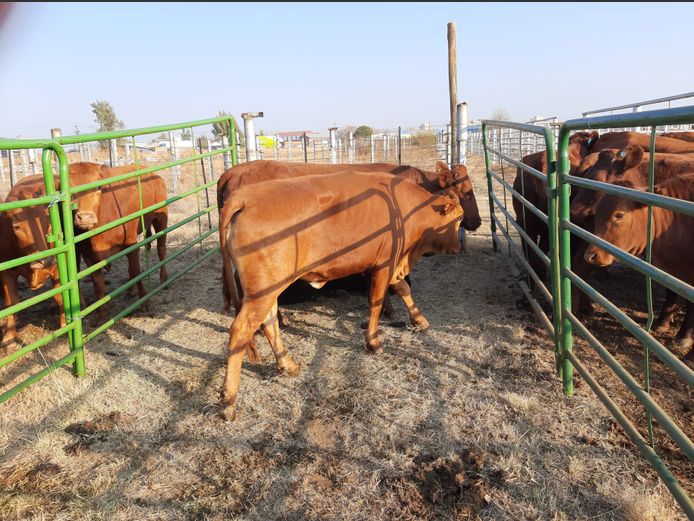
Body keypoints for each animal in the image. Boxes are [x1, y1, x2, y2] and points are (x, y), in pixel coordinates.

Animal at [220, 171, 464, 418]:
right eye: (459, 219)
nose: (458, 248)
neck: (404, 207)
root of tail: (245, 197)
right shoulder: (384, 264)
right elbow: (376, 303)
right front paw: (373, 341)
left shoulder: (392, 266)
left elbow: (403, 288)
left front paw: (419, 319)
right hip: (261, 293)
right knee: (241, 331)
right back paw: (229, 400)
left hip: (269, 290)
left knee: (269, 322)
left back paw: (287, 364)